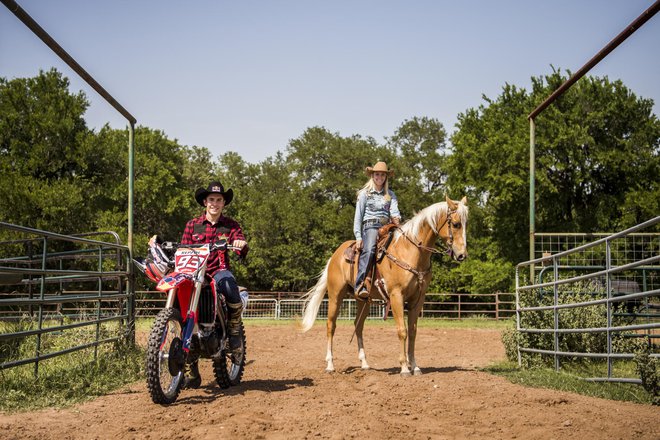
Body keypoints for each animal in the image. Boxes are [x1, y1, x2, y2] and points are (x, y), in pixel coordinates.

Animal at [302, 198, 466, 376]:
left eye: (466, 223)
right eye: (456, 224)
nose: (462, 255)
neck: (410, 251)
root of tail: (335, 255)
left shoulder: (418, 299)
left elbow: (413, 332)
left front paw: (415, 366)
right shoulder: (396, 296)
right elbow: (402, 330)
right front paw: (404, 368)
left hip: (363, 300)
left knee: (358, 326)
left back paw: (364, 363)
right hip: (335, 295)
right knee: (331, 325)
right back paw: (330, 365)